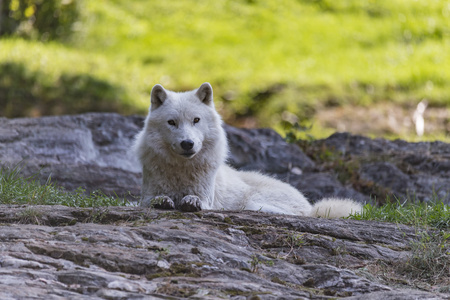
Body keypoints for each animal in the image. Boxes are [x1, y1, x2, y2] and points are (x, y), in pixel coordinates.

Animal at [133, 82, 362, 218]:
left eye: (196, 120)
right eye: (172, 122)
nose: (187, 143)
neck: (181, 171)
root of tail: (312, 209)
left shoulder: (207, 197)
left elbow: (197, 200)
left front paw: (190, 201)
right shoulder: (146, 194)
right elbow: (153, 199)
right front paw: (163, 201)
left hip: (253, 203)